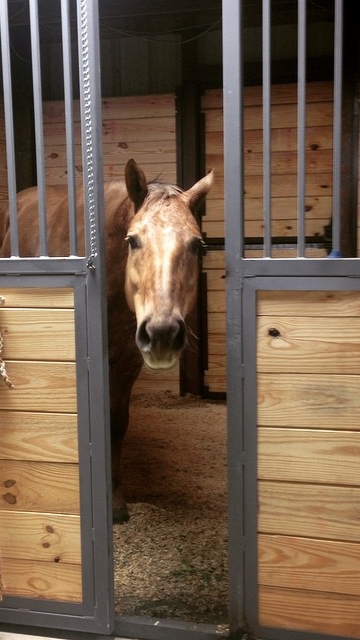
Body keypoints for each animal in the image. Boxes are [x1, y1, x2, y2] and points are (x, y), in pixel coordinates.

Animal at [1, 159, 214, 520]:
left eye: (197, 244)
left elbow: (117, 423)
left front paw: (115, 503)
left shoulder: (127, 360)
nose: (163, 333)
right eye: (133, 240)